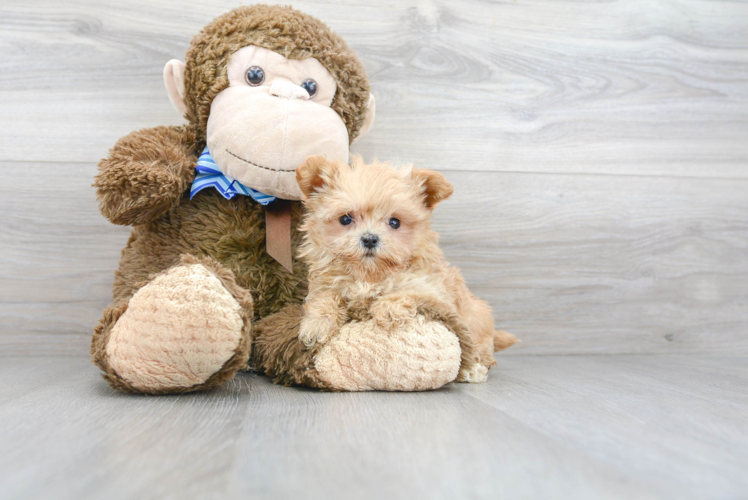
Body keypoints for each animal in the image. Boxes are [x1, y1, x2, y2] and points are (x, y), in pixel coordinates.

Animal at [296, 154, 516, 380]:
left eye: (395, 222)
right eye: (346, 219)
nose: (369, 239)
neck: (370, 275)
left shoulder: (432, 289)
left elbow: (408, 290)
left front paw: (387, 308)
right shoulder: (326, 284)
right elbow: (324, 300)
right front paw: (316, 325)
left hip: (476, 325)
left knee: (479, 352)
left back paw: (473, 371)